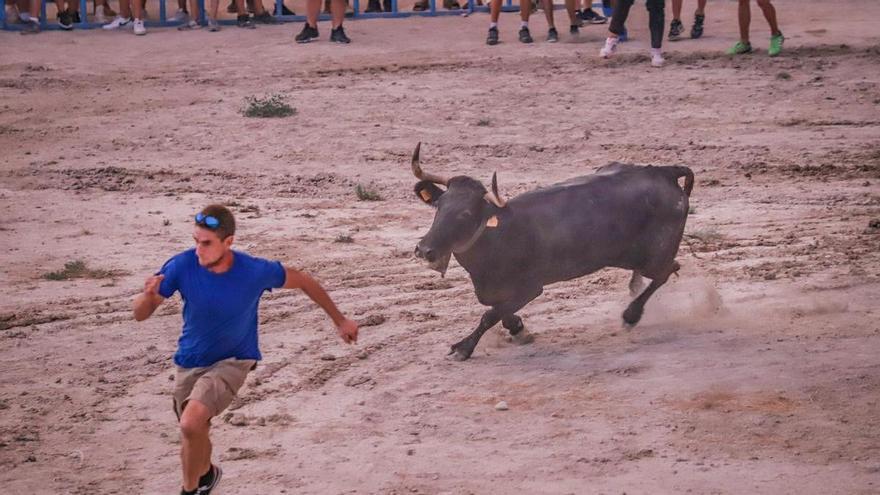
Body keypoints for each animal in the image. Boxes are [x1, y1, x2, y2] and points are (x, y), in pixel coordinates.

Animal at [412, 142, 696, 360]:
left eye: (466, 214)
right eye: (439, 206)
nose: (424, 249)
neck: (499, 235)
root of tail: (664, 172)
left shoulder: (530, 288)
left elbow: (489, 315)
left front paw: (464, 347)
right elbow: (500, 312)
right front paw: (518, 329)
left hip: (655, 256)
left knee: (667, 271)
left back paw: (631, 315)